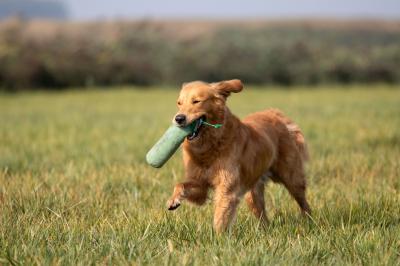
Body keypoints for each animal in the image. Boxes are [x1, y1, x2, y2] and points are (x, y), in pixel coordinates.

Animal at [167, 79, 310, 233]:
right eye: (179, 103)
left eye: (196, 101)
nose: (178, 118)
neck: (210, 144)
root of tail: (276, 114)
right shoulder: (200, 185)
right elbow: (180, 184)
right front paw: (173, 200)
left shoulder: (226, 187)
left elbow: (220, 215)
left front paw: (217, 236)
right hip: (253, 192)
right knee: (262, 215)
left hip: (291, 177)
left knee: (303, 202)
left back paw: (309, 222)